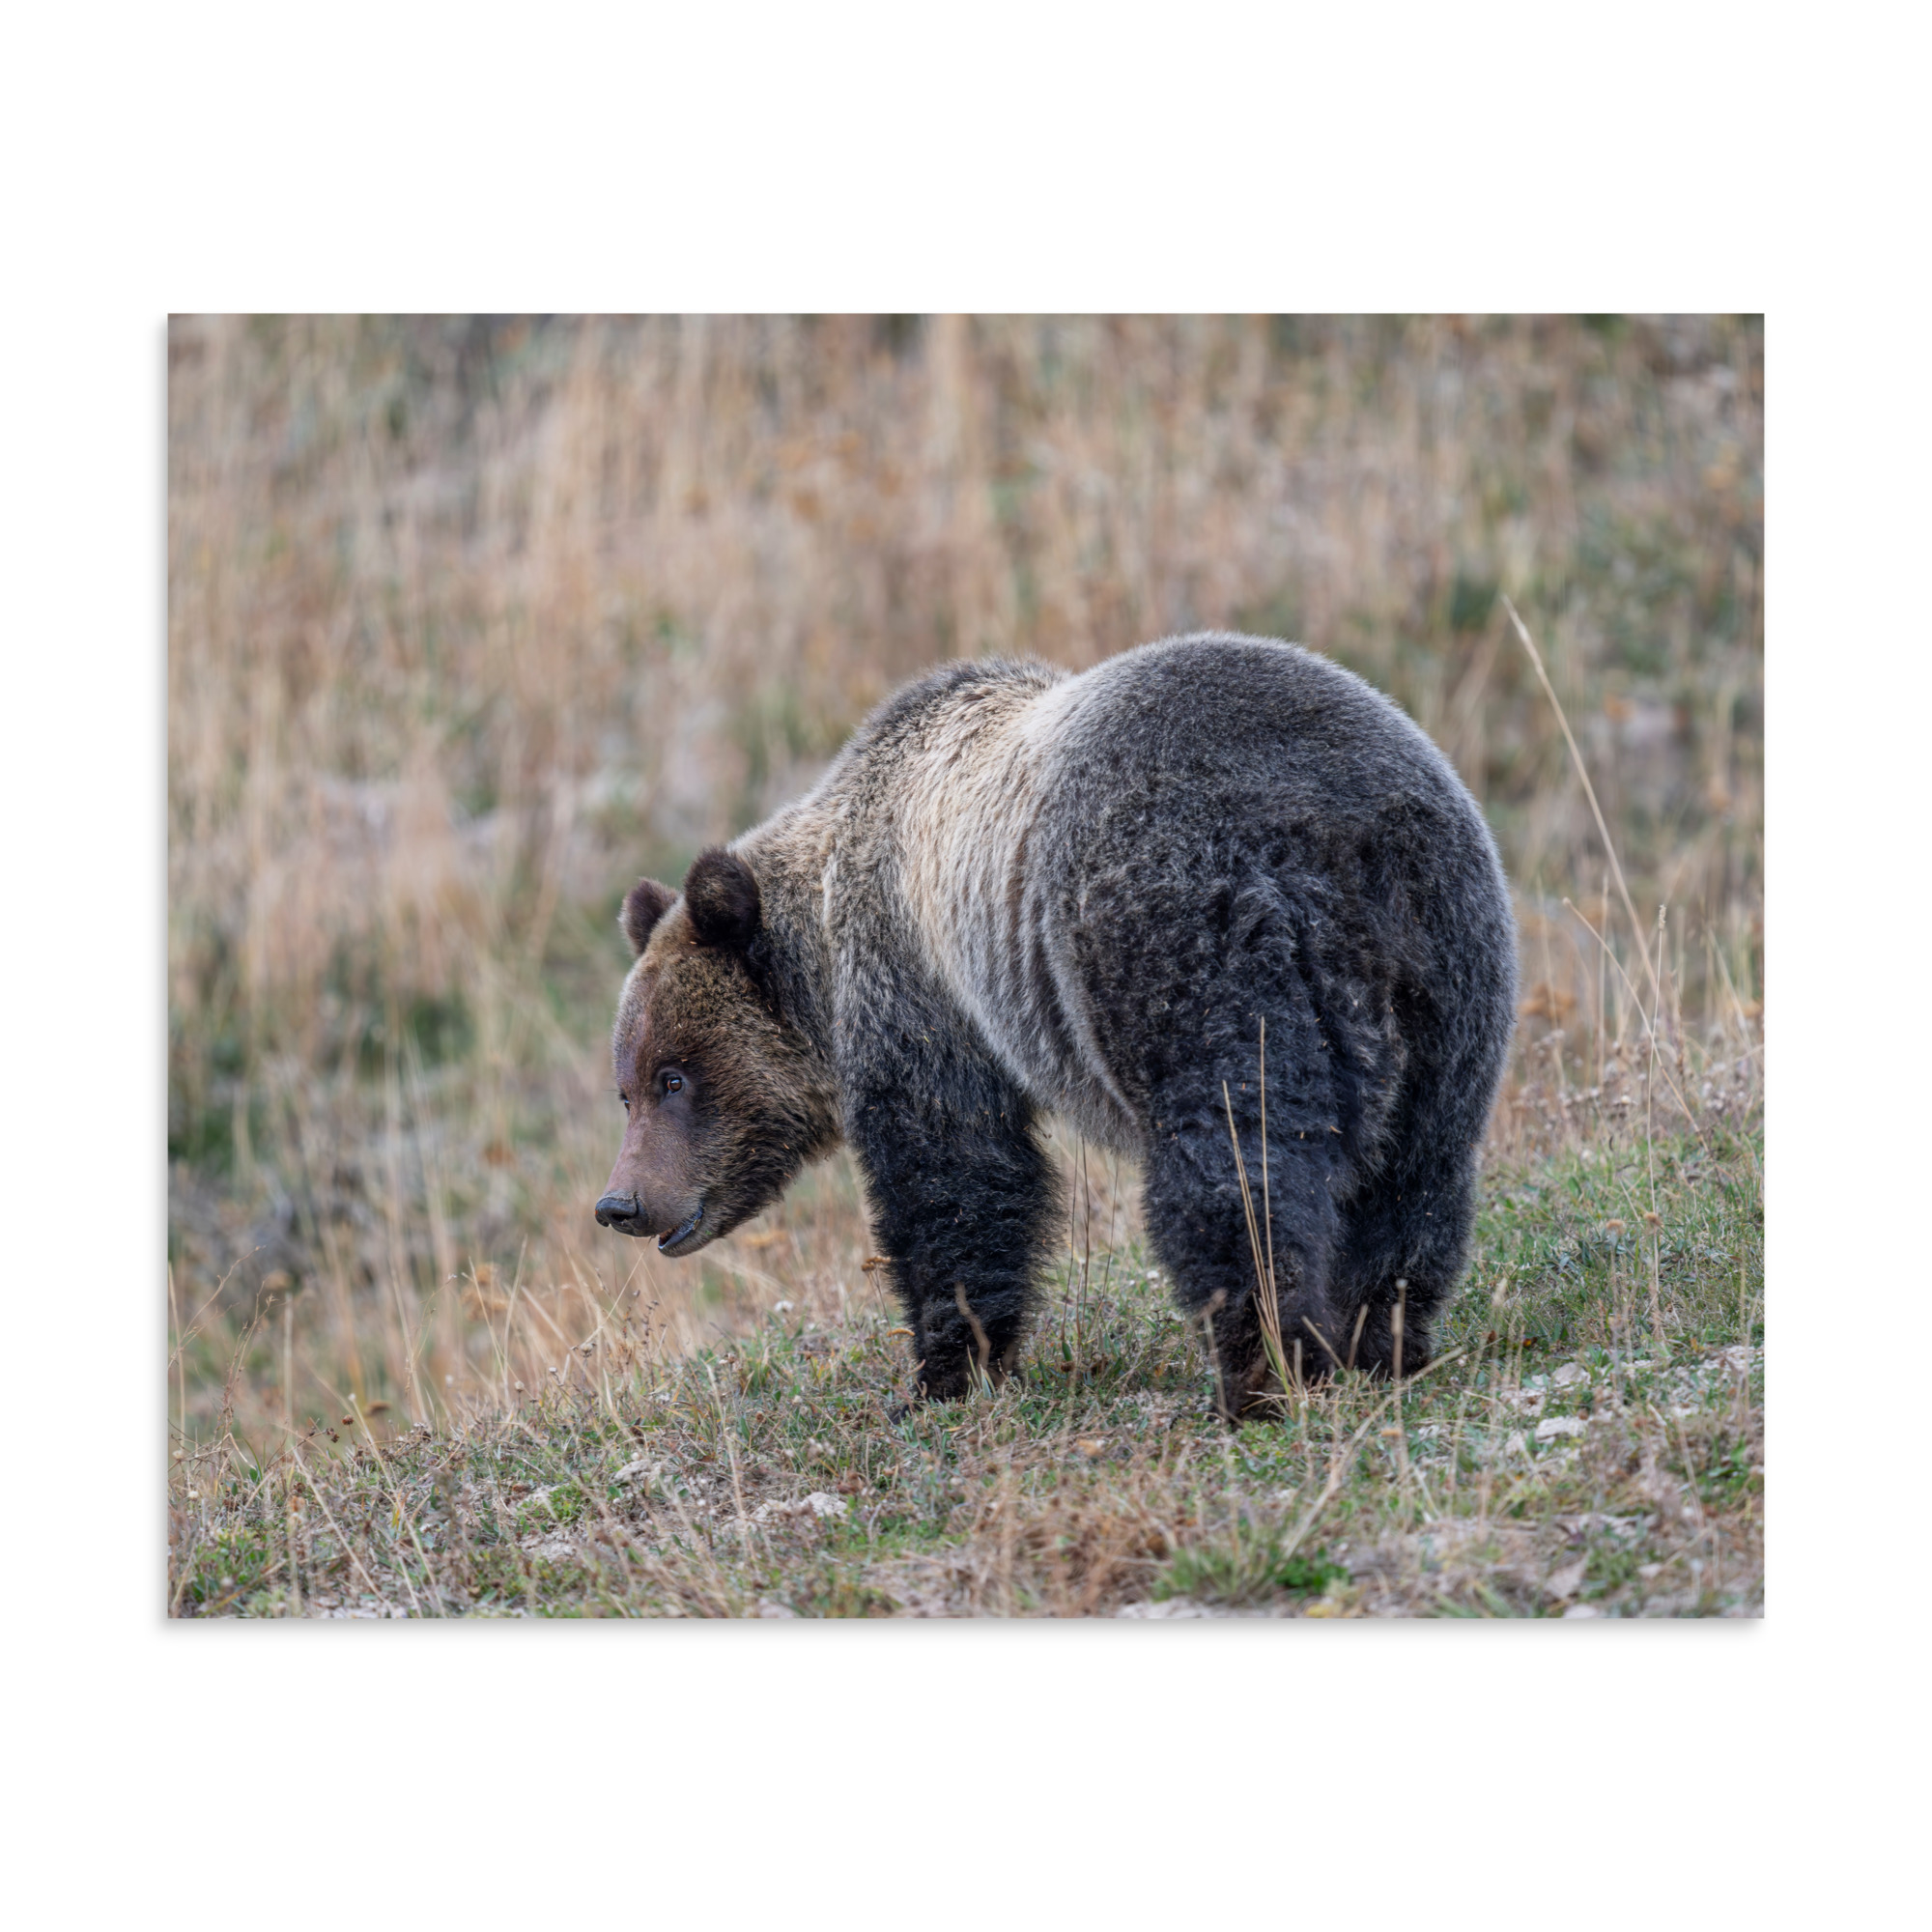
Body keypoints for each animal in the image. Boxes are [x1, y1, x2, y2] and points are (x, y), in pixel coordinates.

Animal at [596, 632, 1517, 1416]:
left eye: (674, 1077)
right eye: (626, 1088)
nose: (621, 1203)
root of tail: (1337, 834)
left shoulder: (921, 988)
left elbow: (955, 1175)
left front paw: (942, 1372)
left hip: (1188, 940)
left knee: (1237, 1165)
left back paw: (1260, 1371)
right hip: (1448, 966)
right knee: (1416, 1171)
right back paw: (1380, 1340)